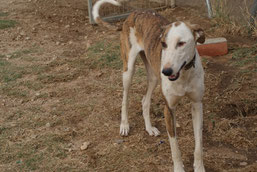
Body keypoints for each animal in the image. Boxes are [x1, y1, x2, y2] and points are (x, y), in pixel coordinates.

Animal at [92, 0, 204, 171]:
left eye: (181, 43)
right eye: (163, 44)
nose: (166, 71)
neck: (183, 74)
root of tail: (131, 14)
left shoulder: (197, 104)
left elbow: (198, 146)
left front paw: (199, 167)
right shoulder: (169, 109)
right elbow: (175, 147)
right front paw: (178, 168)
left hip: (153, 76)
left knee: (145, 100)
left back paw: (149, 128)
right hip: (128, 70)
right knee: (125, 98)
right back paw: (124, 125)